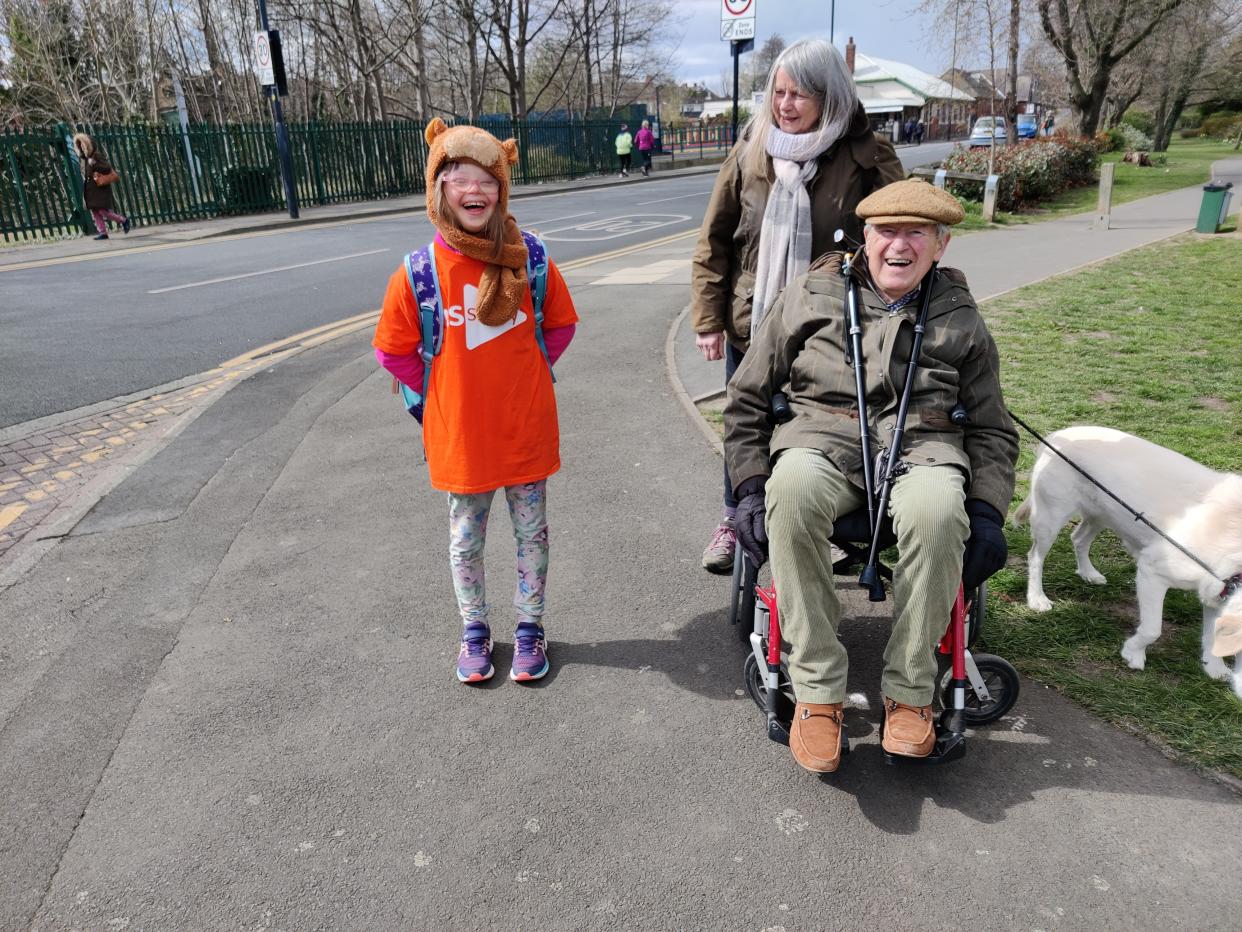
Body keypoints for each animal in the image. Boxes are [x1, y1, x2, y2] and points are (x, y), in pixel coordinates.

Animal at [1018, 427, 1242, 695]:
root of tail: (1058, 434)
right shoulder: (1151, 572)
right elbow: (1152, 629)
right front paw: (1133, 654)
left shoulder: (1219, 592)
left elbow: (1213, 637)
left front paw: (1214, 668)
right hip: (1051, 516)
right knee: (1035, 557)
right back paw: (1037, 598)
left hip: (1103, 513)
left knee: (1078, 538)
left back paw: (1088, 573)